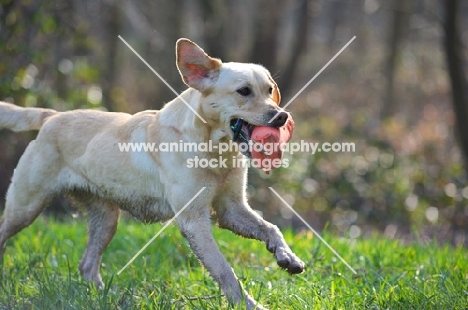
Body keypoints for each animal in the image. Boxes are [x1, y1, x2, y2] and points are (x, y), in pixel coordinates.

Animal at [0, 38, 306, 310]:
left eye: (269, 89)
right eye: (244, 91)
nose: (281, 116)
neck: (214, 148)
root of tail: (52, 117)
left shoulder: (231, 209)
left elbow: (271, 228)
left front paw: (287, 257)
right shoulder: (194, 220)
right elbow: (224, 270)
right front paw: (249, 305)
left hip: (106, 219)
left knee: (87, 265)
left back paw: (110, 299)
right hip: (25, 206)